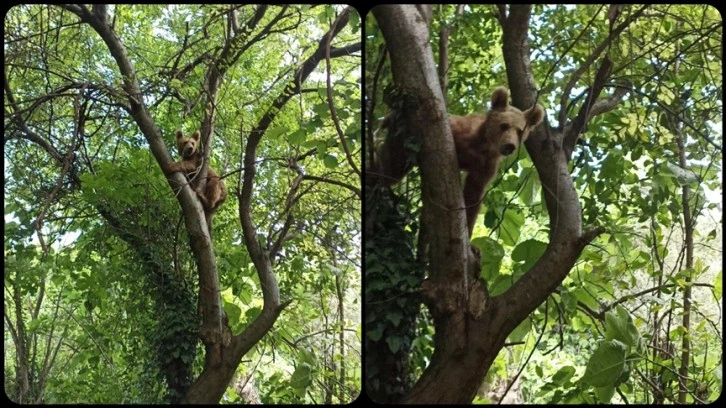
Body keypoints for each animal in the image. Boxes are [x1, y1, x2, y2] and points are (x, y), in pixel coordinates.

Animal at [372, 87, 544, 237]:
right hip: (402, 138)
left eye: (520, 131)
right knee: (391, 167)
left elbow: (473, 195)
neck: (483, 146)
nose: (510, 146)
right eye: (504, 125)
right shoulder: (457, 134)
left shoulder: (485, 166)